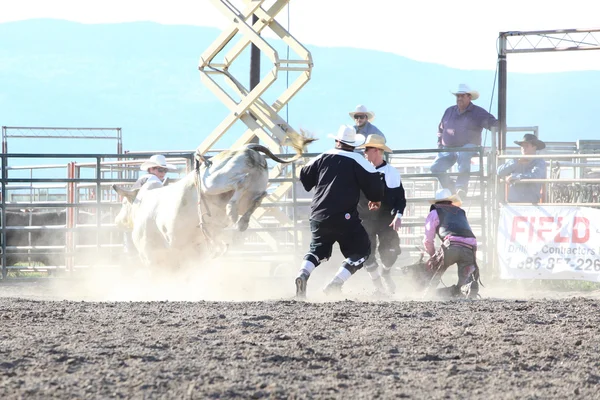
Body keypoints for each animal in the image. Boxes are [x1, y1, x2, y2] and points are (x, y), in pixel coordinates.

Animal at [110, 134, 314, 268]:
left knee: (240, 183)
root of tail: (246, 149)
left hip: (214, 182)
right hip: (254, 187)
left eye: (124, 203)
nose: (117, 221)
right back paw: (241, 221)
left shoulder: (151, 256)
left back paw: (232, 211)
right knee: (259, 196)